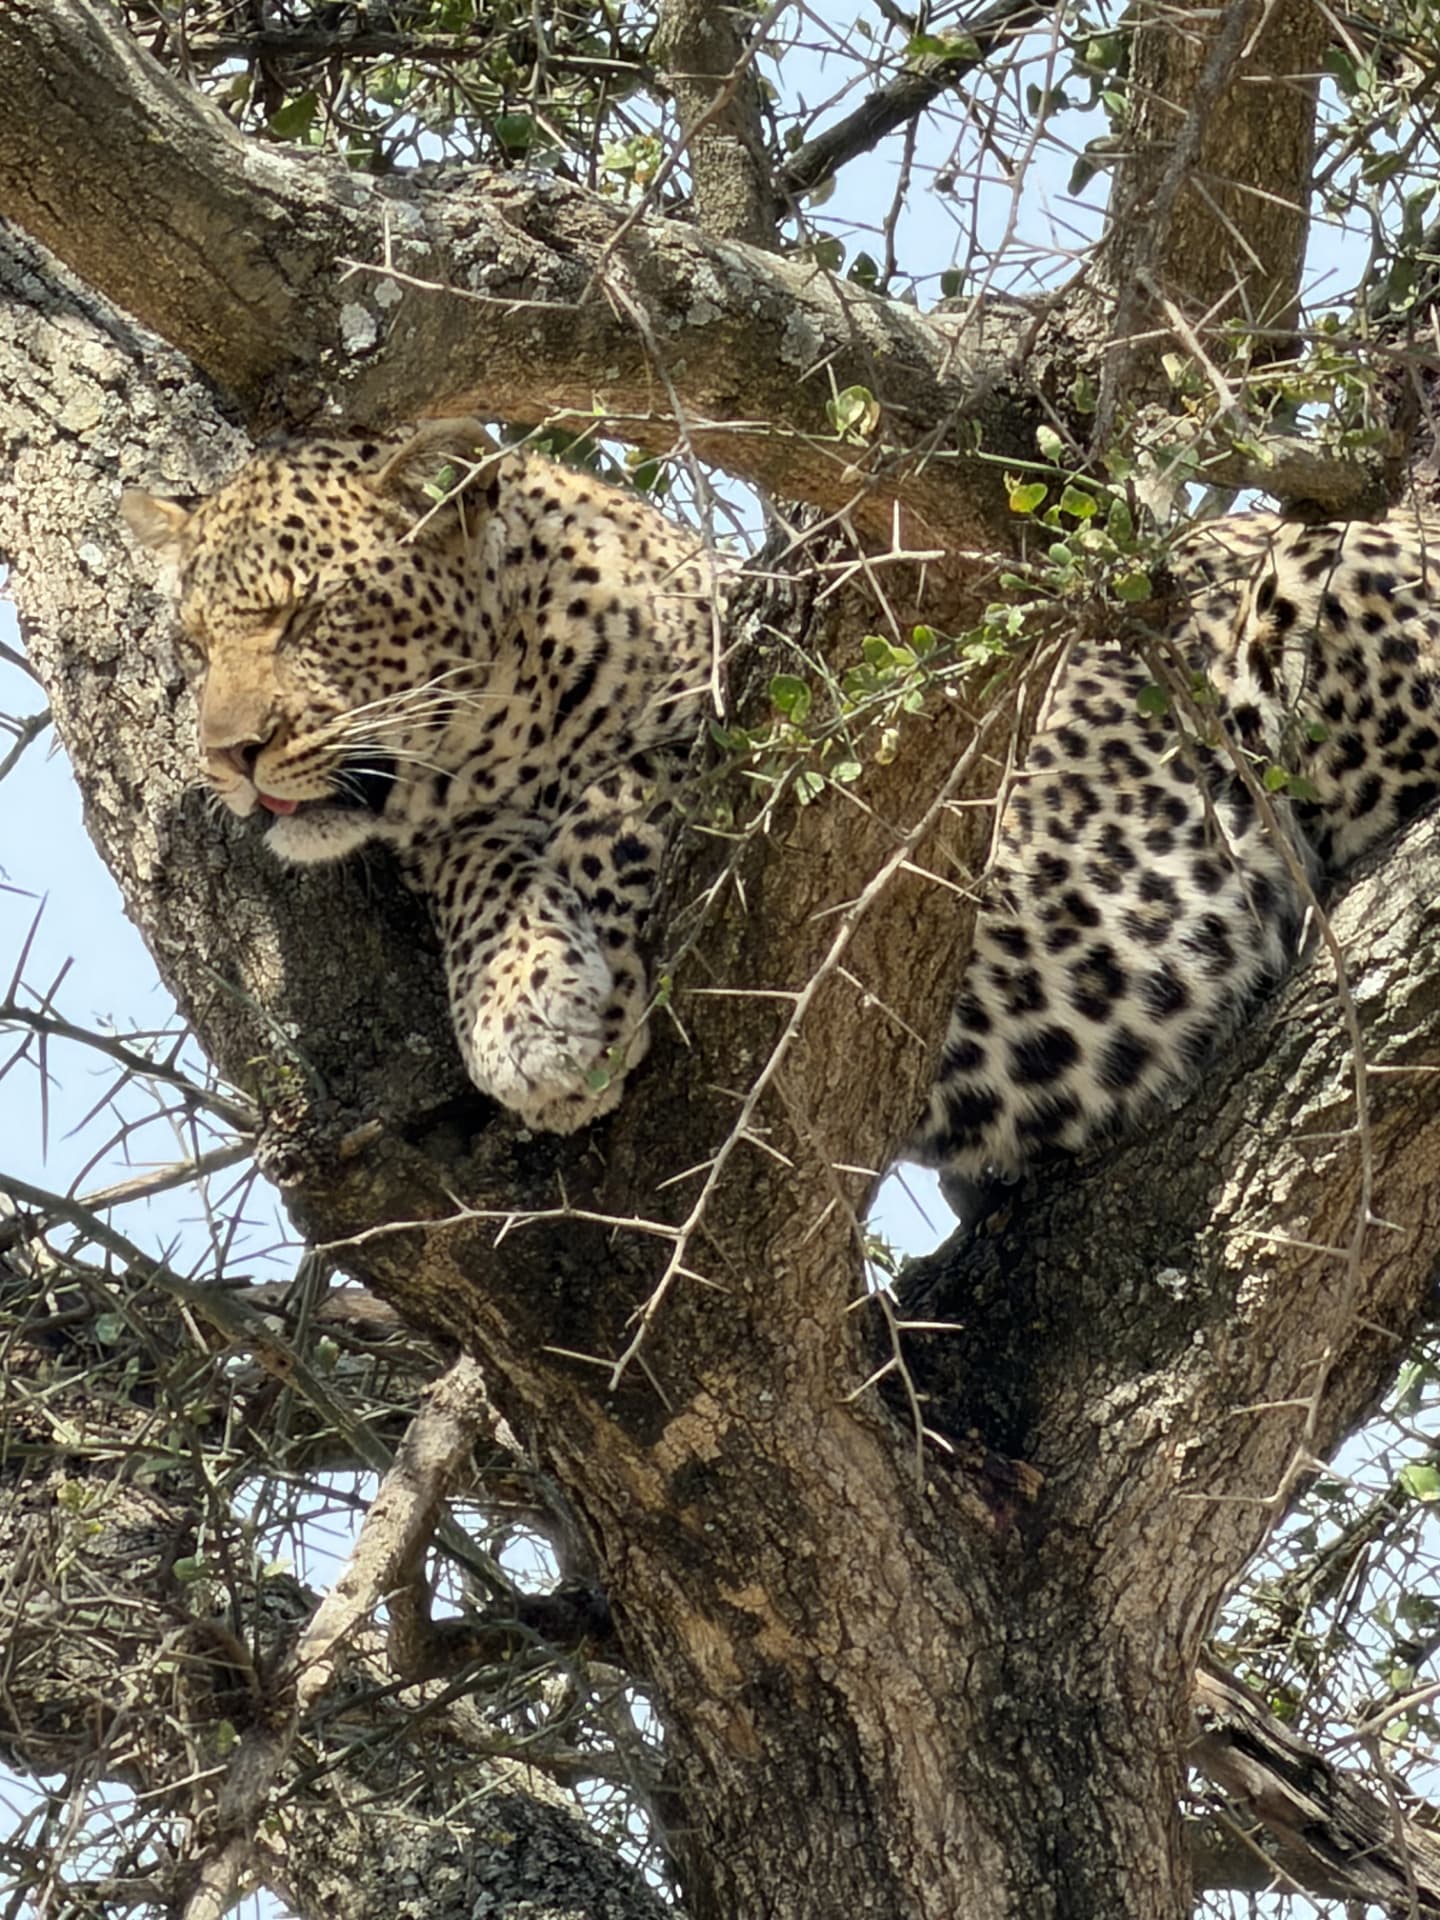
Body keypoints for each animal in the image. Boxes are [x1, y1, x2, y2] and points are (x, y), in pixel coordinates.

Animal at [122, 418, 724, 1132]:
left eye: (306, 616)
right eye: (196, 647)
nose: (228, 755)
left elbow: (617, 799)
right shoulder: (448, 834)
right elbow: (481, 871)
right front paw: (518, 1012)